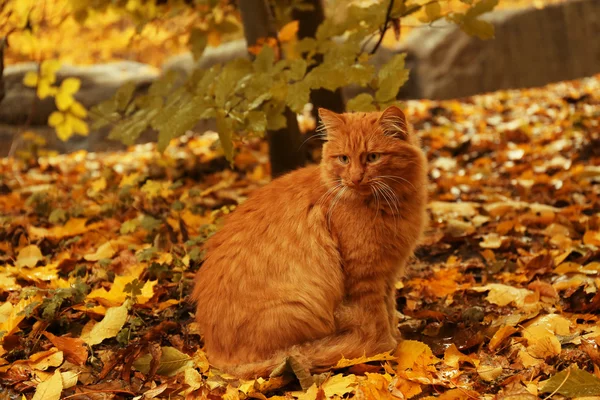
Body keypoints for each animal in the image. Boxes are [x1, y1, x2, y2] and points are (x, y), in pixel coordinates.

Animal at [192, 105, 426, 378]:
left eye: (373, 157)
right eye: (343, 159)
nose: (355, 178)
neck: (388, 205)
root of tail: (213, 356)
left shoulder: (389, 272)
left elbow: (388, 310)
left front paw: (395, 338)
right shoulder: (365, 276)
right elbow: (377, 318)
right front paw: (385, 348)